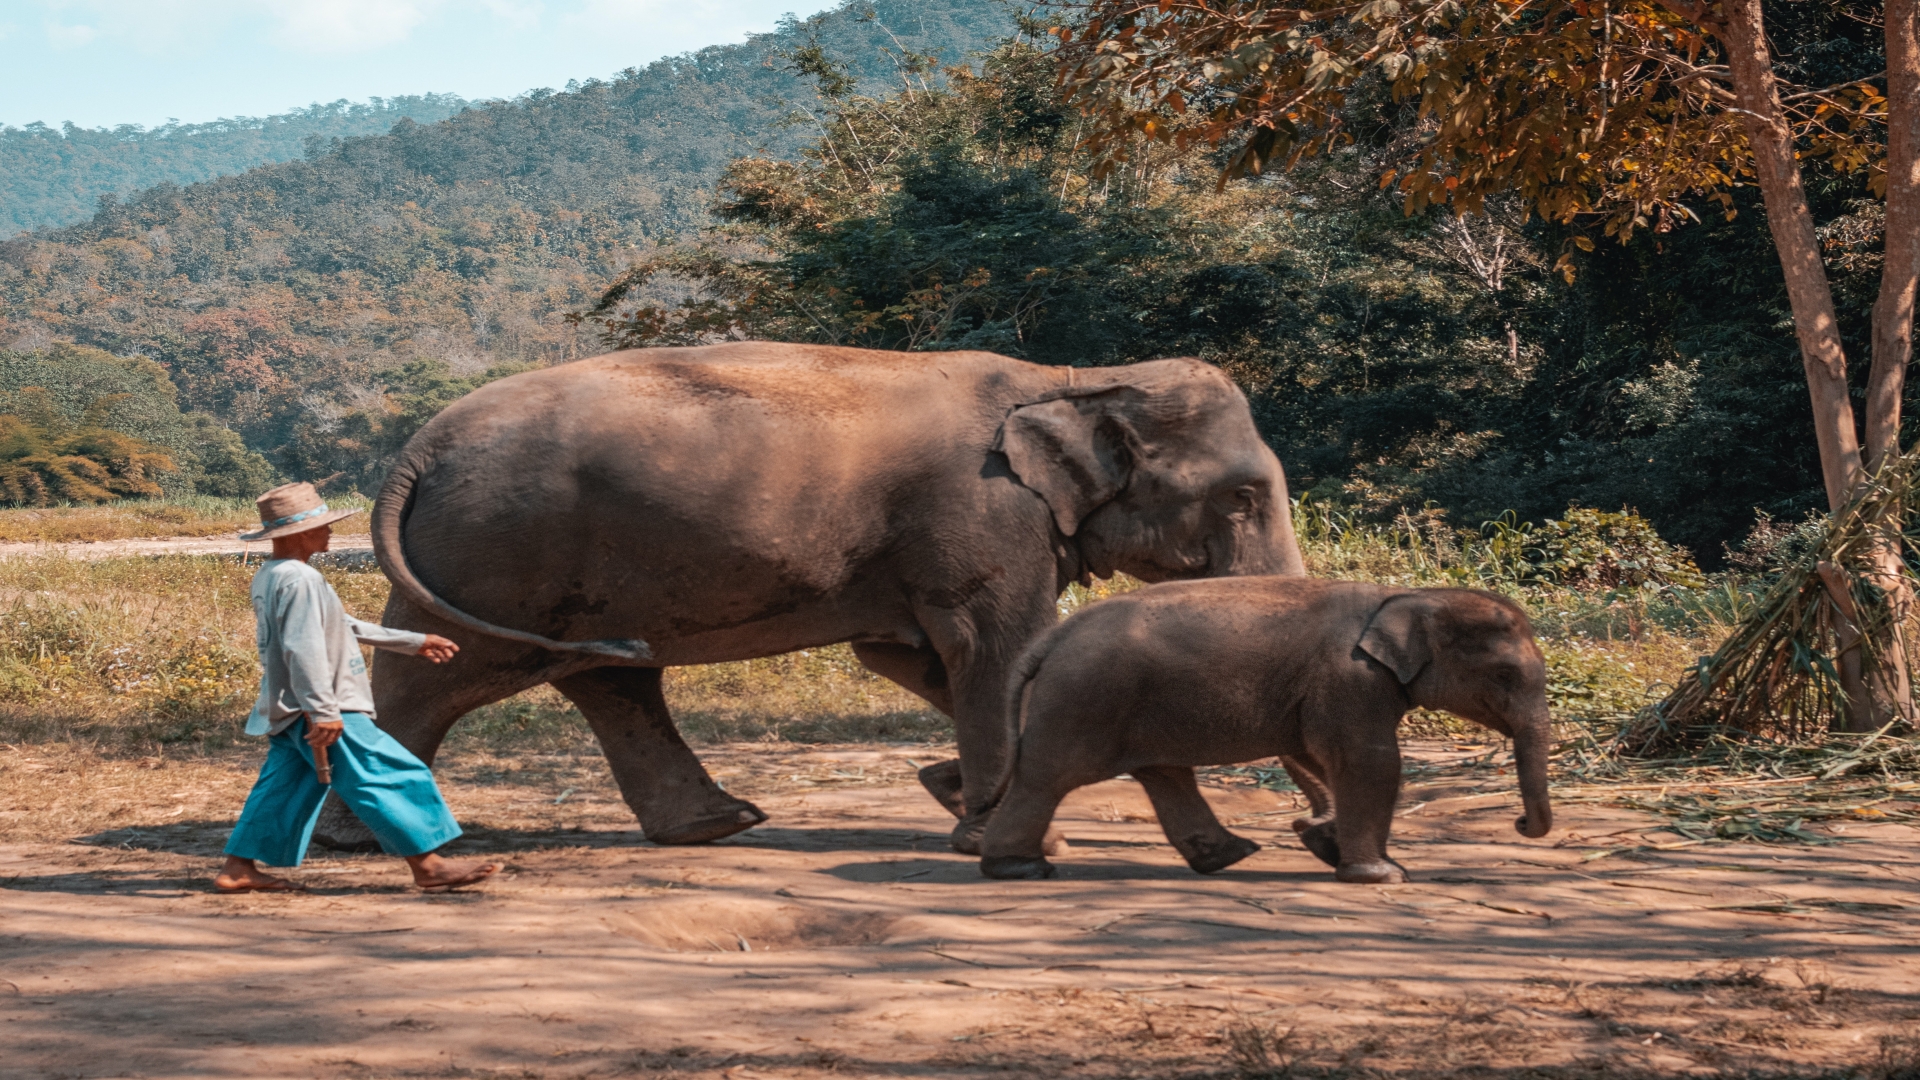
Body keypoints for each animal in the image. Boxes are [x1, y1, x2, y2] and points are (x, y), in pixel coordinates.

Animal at [314, 342, 1305, 849]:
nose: (1310, 835)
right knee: (436, 679)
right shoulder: (984, 517)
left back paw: (718, 825)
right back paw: (356, 842)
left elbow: (910, 654)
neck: (1070, 380)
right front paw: (996, 829)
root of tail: (415, 451)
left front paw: (957, 797)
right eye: (1242, 497)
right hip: (498, 554)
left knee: (609, 678)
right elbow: (995, 645)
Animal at [983, 576, 1551, 880]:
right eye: (1505, 675)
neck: (1406, 595)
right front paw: (1384, 875)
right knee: (1047, 777)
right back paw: (1020, 869)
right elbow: (1370, 760)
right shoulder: (1351, 679)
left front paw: (1325, 842)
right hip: (1084, 698)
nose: (1521, 823)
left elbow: (1316, 753)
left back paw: (1230, 856)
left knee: (1165, 773)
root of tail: (1053, 636)